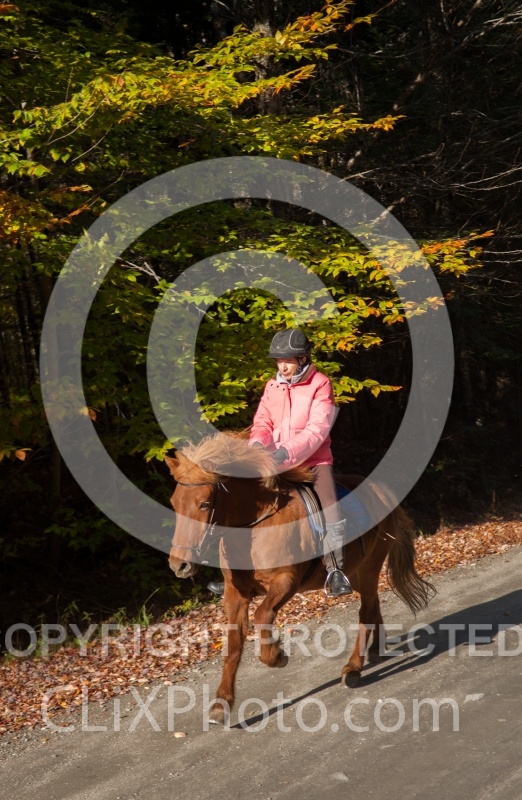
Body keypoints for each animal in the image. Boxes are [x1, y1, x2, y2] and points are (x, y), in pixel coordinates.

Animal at [167, 433, 434, 725]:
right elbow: (233, 643)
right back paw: (375, 651)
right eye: (174, 503)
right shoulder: (235, 594)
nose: (179, 565)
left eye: (204, 503)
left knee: (366, 612)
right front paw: (221, 704)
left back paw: (353, 668)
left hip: (369, 568)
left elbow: (262, 615)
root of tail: (382, 491)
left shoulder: (286, 581)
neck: (255, 526)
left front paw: (276, 656)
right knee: (373, 606)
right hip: (358, 573)